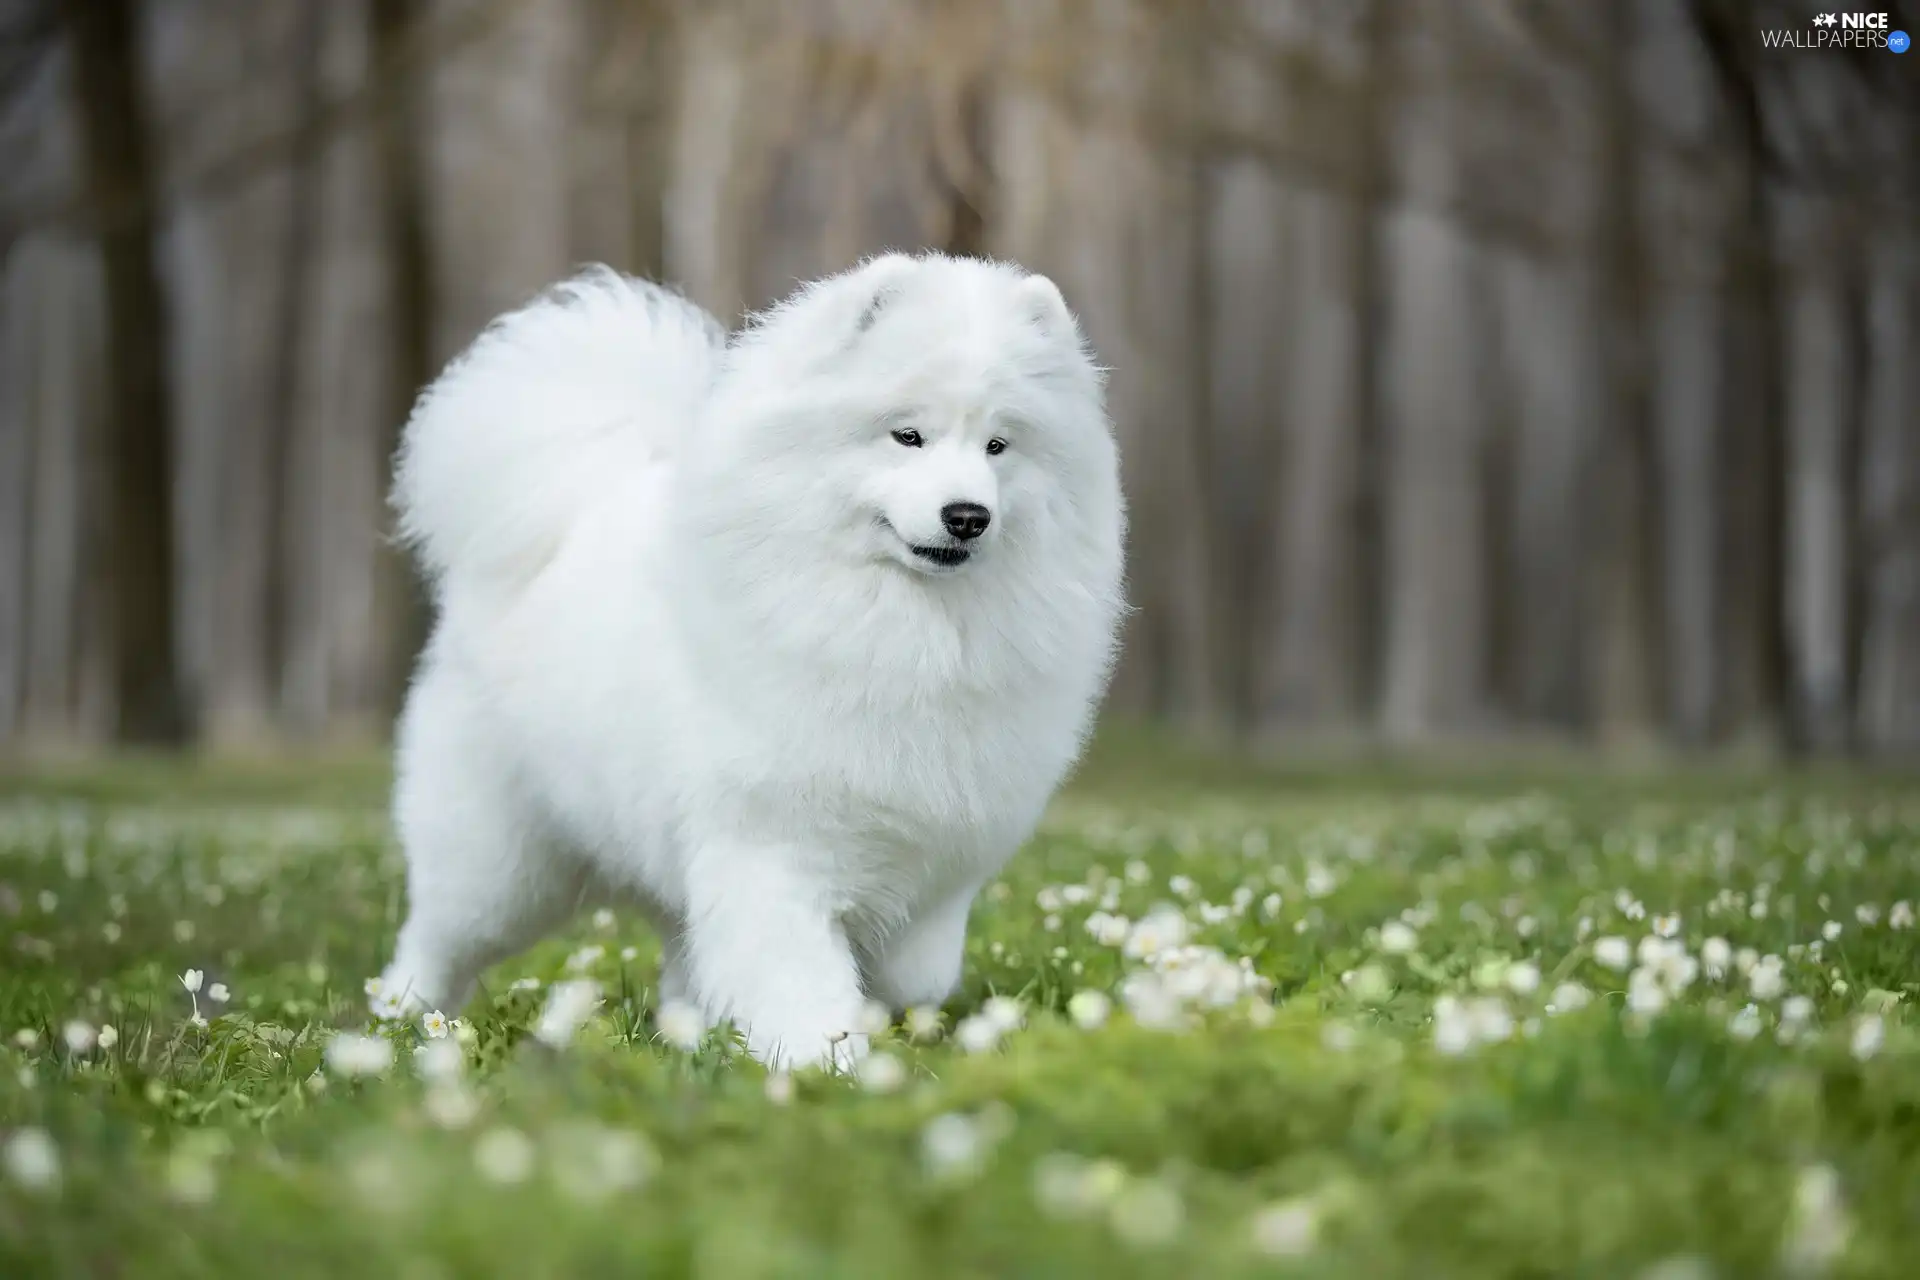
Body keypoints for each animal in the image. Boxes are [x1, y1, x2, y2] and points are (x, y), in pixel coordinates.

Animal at [374, 253, 1121, 1074]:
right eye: (907, 435)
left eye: (999, 446)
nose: (967, 516)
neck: (897, 626)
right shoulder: (770, 848)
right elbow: (796, 975)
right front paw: (825, 1065)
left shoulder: (936, 860)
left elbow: (916, 970)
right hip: (502, 859)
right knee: (440, 938)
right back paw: (400, 1020)